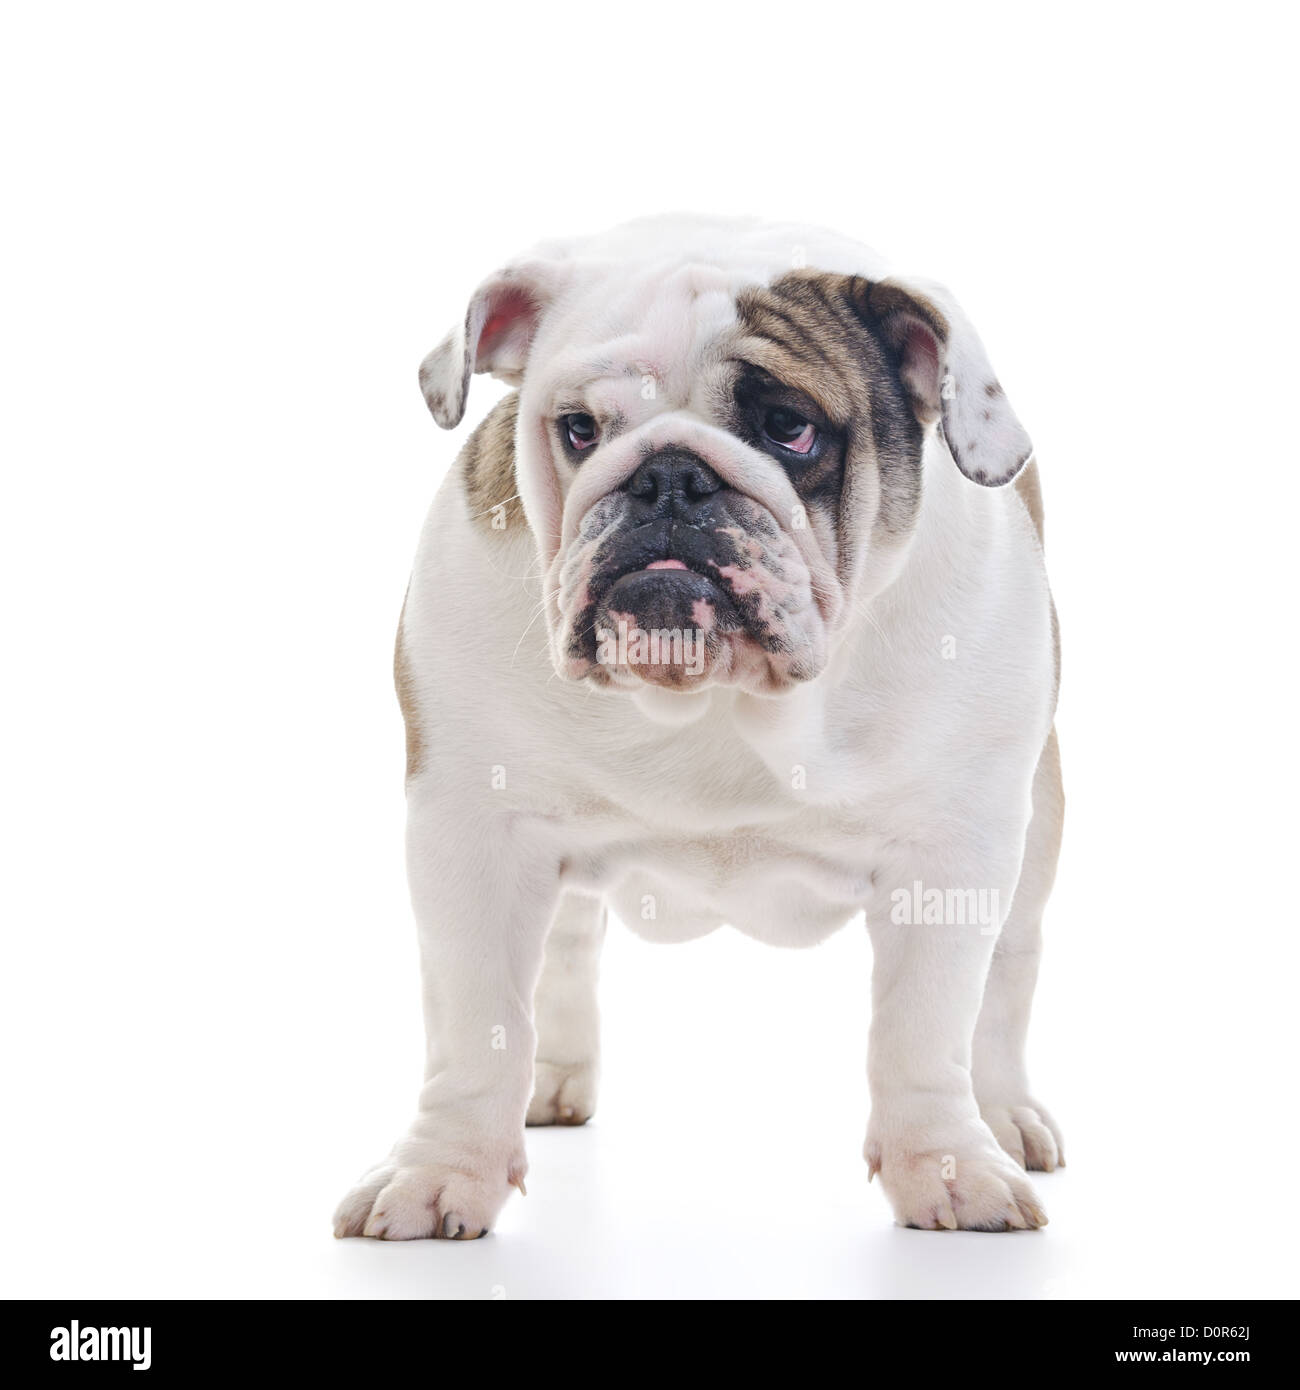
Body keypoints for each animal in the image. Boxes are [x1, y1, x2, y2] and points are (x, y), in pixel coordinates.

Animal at [335, 211, 1067, 1234]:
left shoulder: (953, 851)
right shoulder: (470, 834)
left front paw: (948, 1168)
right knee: (563, 948)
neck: (713, 694)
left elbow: (925, 1026)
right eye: (578, 428)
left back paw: (1002, 1116)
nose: (669, 478)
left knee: (1007, 977)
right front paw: (440, 1173)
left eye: (791, 428)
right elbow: (478, 1022)